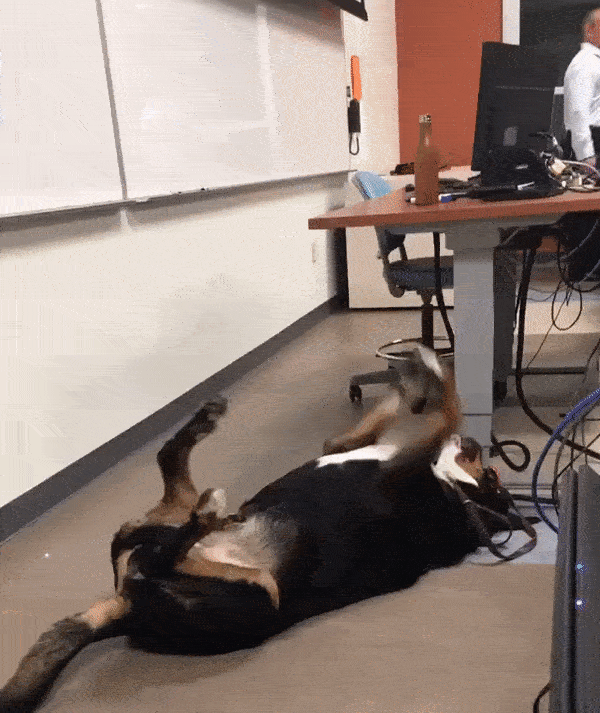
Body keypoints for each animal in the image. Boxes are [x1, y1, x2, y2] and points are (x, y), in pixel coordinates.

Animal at [0, 346, 535, 713]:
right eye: (492, 472)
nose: (477, 446)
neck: (456, 496)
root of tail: (130, 614)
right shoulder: (356, 447)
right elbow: (395, 415)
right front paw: (411, 381)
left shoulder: (401, 465)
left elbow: (450, 405)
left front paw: (433, 375)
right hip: (183, 538)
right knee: (156, 503)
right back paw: (202, 445)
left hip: (255, 594)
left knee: (158, 545)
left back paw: (207, 507)